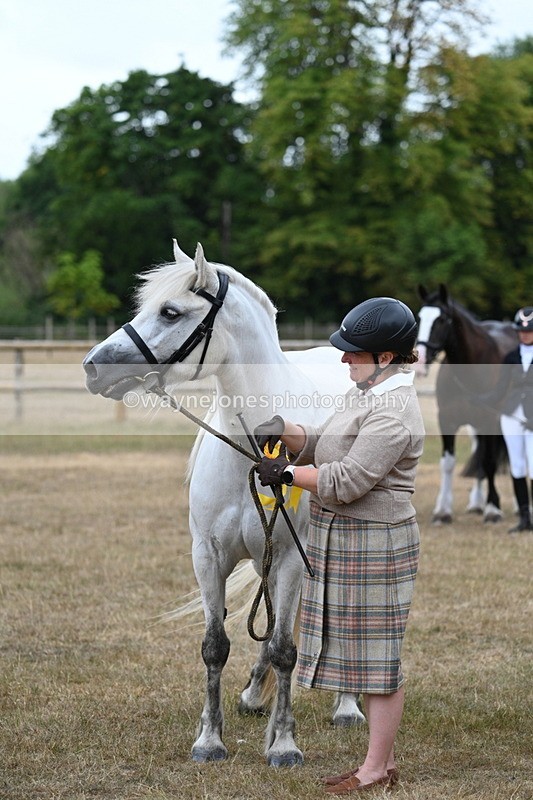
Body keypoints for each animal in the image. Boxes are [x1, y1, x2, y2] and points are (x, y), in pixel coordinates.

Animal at [83, 240, 364, 767]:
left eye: (170, 311)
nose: (93, 365)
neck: (252, 452)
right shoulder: (210, 556)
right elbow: (217, 645)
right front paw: (210, 739)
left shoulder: (291, 557)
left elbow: (286, 649)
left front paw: (284, 744)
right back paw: (254, 695)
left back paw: (348, 705)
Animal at [416, 284, 517, 523]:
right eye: (420, 317)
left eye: (441, 319)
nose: (421, 360)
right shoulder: (447, 420)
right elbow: (448, 464)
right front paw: (443, 511)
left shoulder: (489, 421)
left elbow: (489, 462)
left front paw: (493, 509)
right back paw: (476, 503)